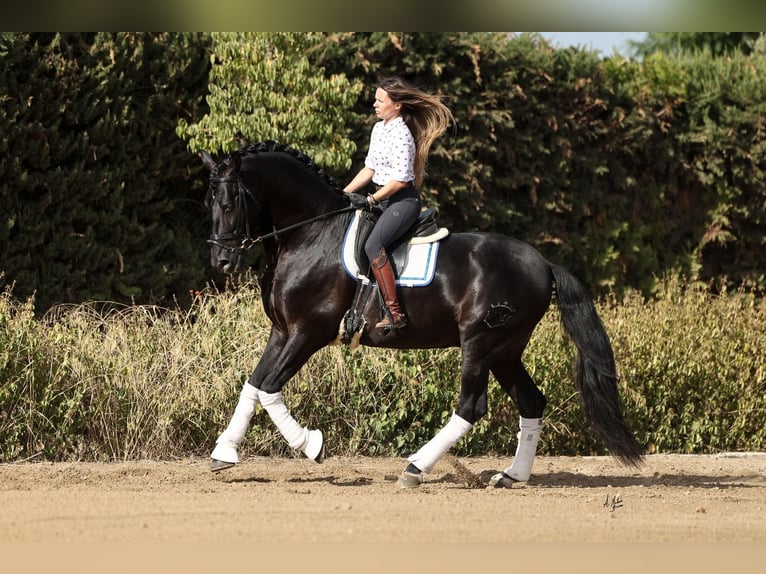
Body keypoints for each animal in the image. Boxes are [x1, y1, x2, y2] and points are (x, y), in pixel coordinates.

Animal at [199, 140, 643, 488]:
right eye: (209, 204)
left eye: (229, 203)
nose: (221, 262)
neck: (310, 234)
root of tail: (544, 264)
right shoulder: (282, 331)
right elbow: (254, 385)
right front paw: (224, 453)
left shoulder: (309, 332)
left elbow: (270, 388)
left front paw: (312, 445)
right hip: (505, 350)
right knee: (530, 402)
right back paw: (511, 475)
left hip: (480, 343)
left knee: (471, 406)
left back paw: (415, 467)